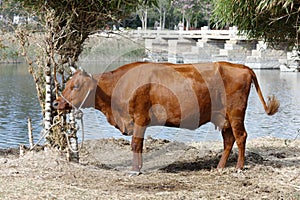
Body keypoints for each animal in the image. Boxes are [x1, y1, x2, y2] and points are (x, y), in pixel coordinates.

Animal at [53, 61, 278, 173]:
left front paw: (135, 170)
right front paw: (138, 167)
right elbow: (139, 145)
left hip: (235, 113)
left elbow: (135, 144)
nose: (56, 103)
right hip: (223, 118)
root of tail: (242, 67)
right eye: (67, 83)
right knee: (229, 140)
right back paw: (220, 167)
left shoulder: (140, 118)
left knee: (241, 137)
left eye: (76, 86)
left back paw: (239, 167)